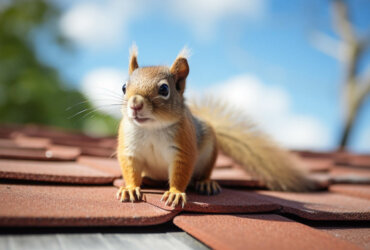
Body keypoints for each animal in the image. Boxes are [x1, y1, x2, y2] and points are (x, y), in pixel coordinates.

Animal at [116, 44, 318, 207]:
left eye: (164, 89)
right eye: (124, 87)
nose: (135, 104)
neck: (152, 129)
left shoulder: (183, 147)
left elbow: (181, 172)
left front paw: (175, 193)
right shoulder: (130, 148)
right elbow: (130, 169)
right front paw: (130, 188)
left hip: (209, 154)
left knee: (203, 174)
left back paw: (206, 183)